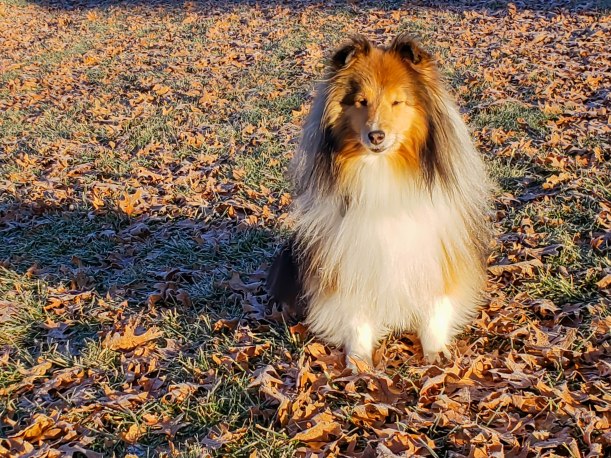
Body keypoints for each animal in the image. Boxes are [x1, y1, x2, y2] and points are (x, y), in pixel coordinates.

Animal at [268, 34, 491, 369]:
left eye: (397, 101)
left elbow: (434, 308)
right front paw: (359, 362)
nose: (376, 136)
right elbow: (356, 317)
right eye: (361, 101)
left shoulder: (433, 249)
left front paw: (435, 353)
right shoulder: (351, 257)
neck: (382, 169)